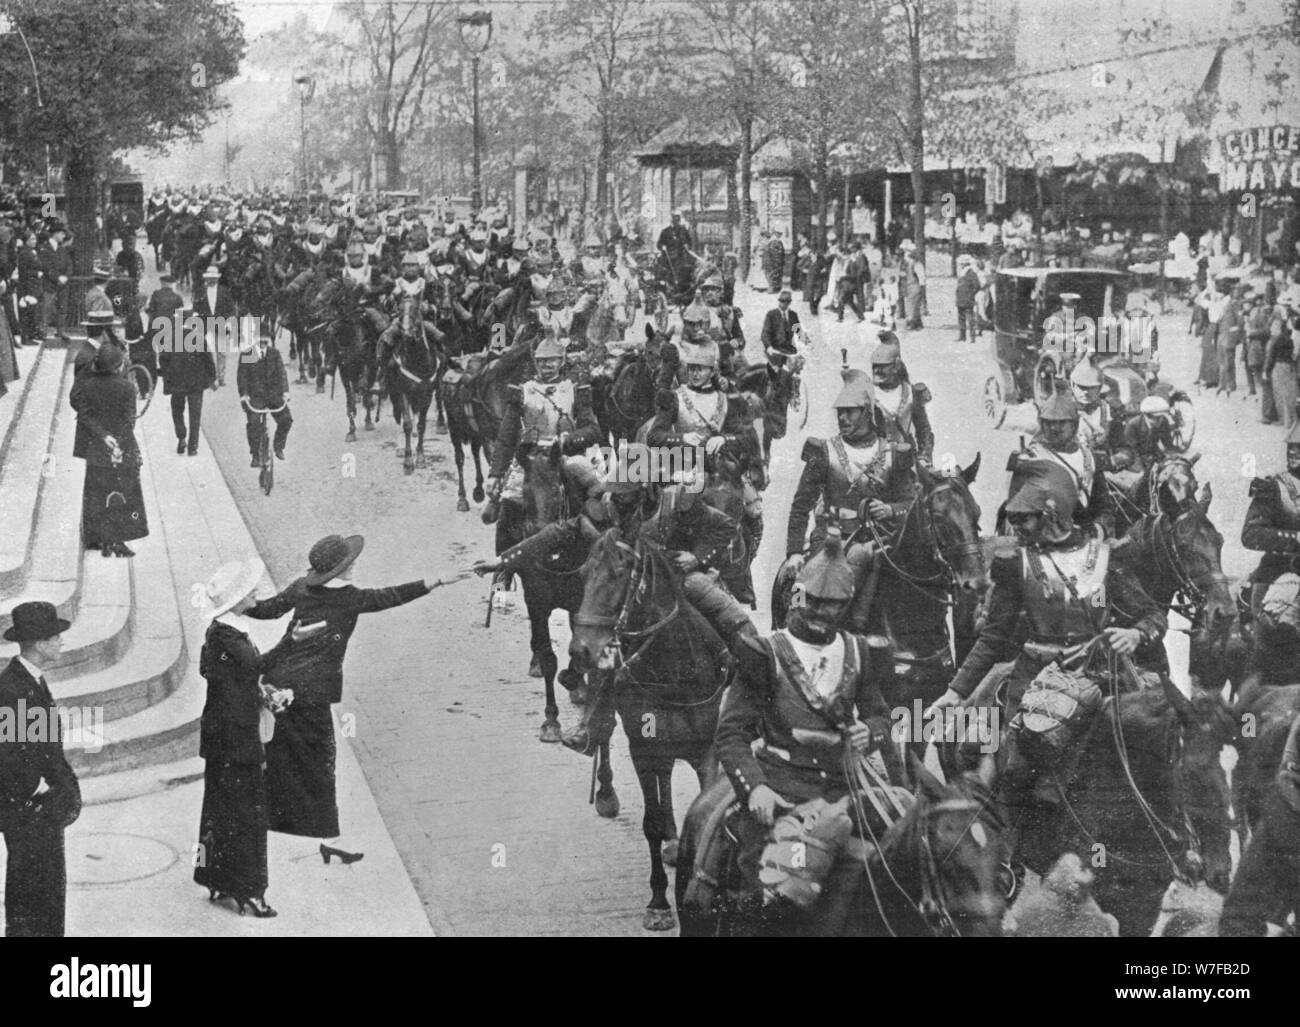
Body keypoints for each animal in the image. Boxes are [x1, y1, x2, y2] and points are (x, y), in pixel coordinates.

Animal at [384, 295, 441, 475]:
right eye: (399, 310)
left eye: (416, 309)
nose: (407, 333)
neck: (418, 361)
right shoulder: (403, 393)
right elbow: (407, 424)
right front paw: (408, 462)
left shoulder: (427, 395)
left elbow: (421, 425)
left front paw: (420, 458)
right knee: (399, 415)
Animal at [566, 530, 733, 930]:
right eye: (583, 574)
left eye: (618, 574)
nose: (580, 650)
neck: (674, 668)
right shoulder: (643, 749)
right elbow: (651, 823)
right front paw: (658, 904)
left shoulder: (706, 751)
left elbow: (701, 803)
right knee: (606, 737)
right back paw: (607, 794)